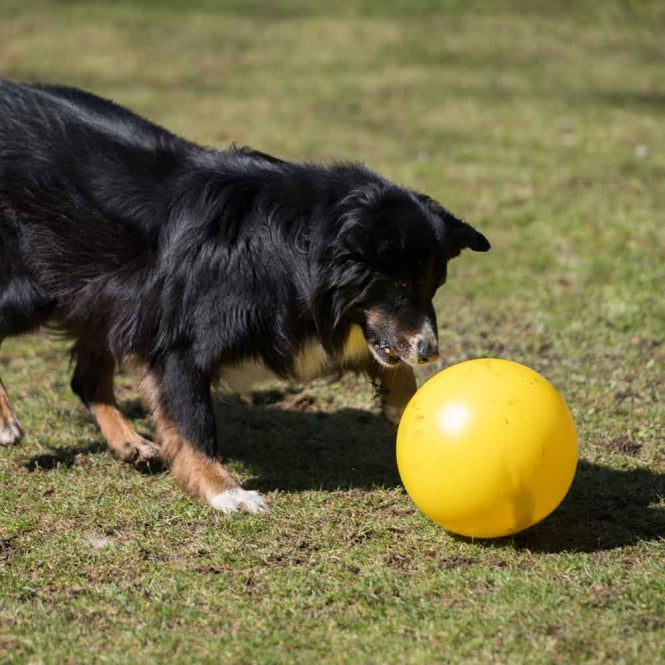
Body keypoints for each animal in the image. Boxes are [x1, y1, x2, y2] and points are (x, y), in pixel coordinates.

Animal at [0, 80, 488, 510]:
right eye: (402, 285)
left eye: (434, 286)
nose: (429, 352)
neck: (296, 249)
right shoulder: (178, 342)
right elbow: (194, 423)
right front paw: (225, 493)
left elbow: (391, 367)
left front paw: (406, 412)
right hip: (37, 290)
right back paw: (7, 421)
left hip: (100, 291)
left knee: (85, 379)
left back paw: (128, 441)